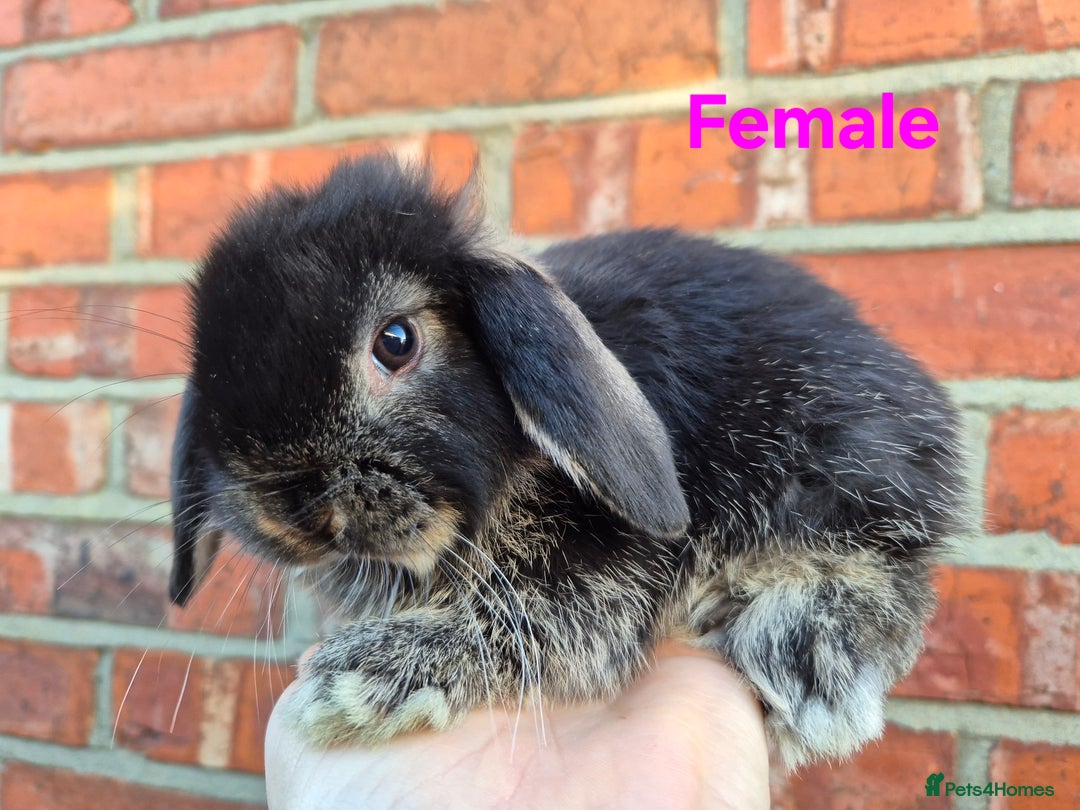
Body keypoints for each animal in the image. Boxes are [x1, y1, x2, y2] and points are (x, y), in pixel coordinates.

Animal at [169, 154, 966, 770]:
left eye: (395, 341)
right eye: (206, 369)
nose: (290, 509)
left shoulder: (608, 565)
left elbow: (539, 619)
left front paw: (355, 682)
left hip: (836, 466)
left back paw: (805, 668)